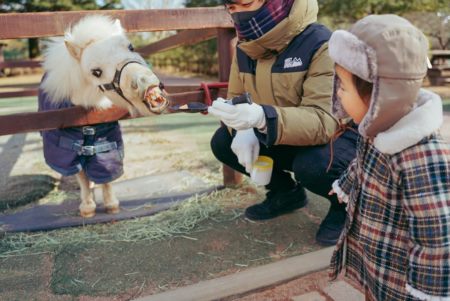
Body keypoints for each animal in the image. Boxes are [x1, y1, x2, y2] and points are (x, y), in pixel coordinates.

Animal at [38, 15, 169, 217]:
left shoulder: (108, 145)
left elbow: (106, 175)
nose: (144, 83)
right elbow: (82, 177)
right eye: (96, 72)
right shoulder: (69, 151)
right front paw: (87, 208)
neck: (87, 120)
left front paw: (111, 205)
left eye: (131, 47)